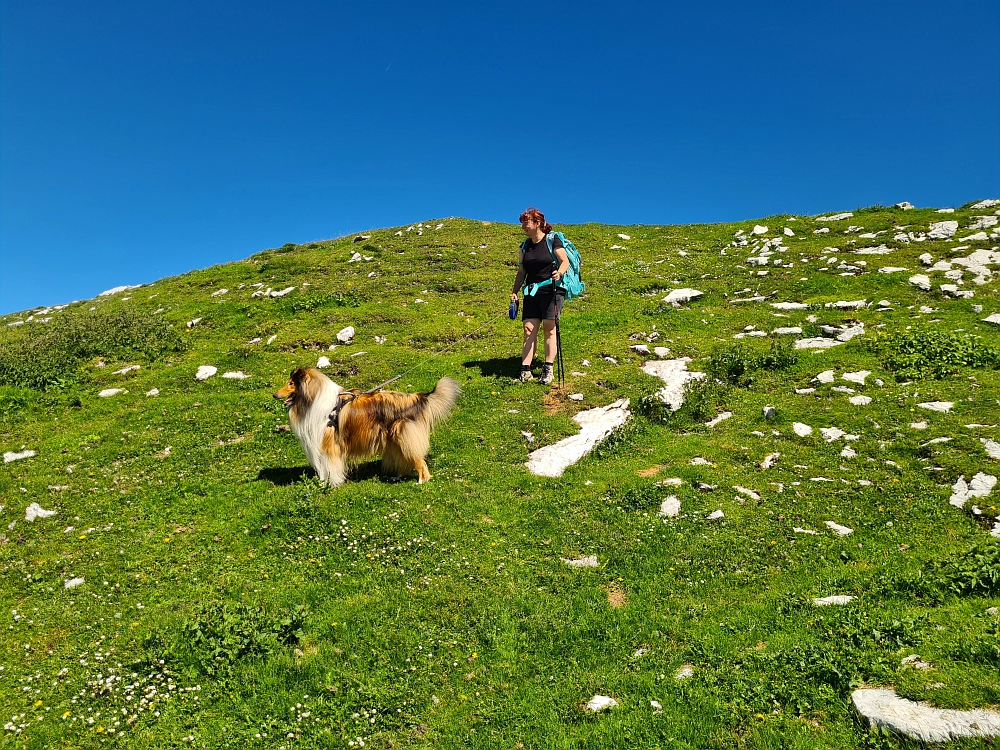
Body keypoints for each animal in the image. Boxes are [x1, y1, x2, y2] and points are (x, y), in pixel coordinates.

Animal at [274, 368, 460, 488]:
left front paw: (331, 484)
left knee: (419, 461)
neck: (312, 400)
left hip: (404, 435)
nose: (274, 395)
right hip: (394, 438)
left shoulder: (329, 444)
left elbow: (330, 466)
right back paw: (396, 476)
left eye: (291, 383)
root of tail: (417, 397)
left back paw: (422, 481)